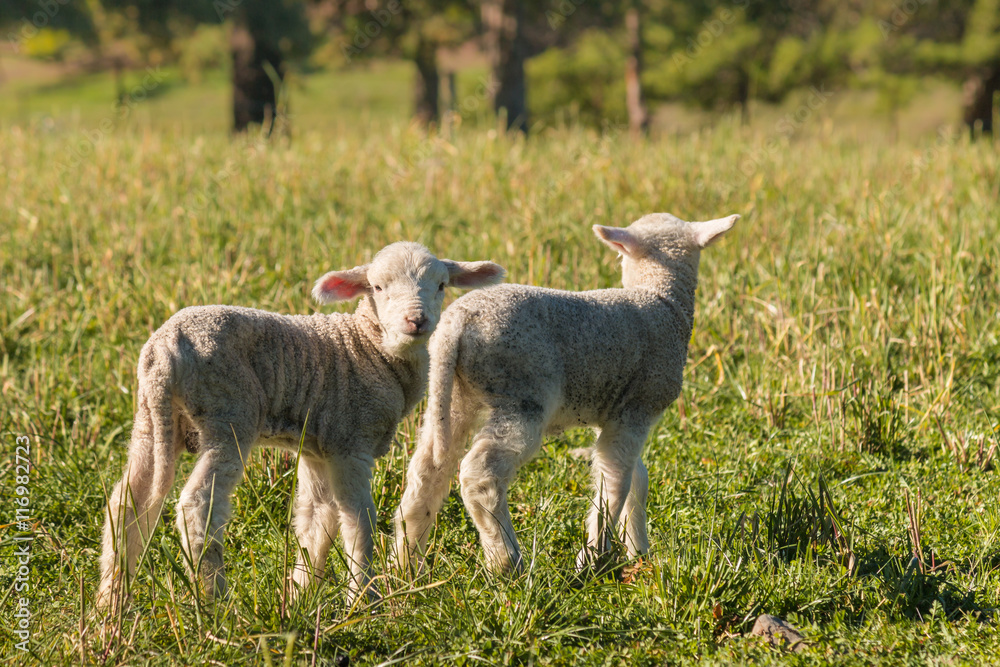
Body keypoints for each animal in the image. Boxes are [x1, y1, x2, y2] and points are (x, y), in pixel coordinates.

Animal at [96, 242, 505, 611]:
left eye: (441, 285)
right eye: (377, 287)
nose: (416, 321)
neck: (368, 347)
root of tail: (165, 348)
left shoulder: (318, 447)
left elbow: (316, 520)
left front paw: (299, 596)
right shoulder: (350, 442)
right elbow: (359, 522)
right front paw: (364, 601)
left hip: (151, 420)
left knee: (126, 502)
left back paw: (110, 604)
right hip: (228, 415)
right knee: (198, 505)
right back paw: (217, 603)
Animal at [393, 213, 738, 575]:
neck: (662, 301)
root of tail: (455, 325)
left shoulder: (614, 413)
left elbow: (636, 480)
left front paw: (638, 552)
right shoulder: (636, 408)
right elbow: (615, 480)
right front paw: (594, 557)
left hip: (455, 396)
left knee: (428, 469)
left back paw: (405, 565)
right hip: (522, 393)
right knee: (480, 474)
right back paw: (507, 562)